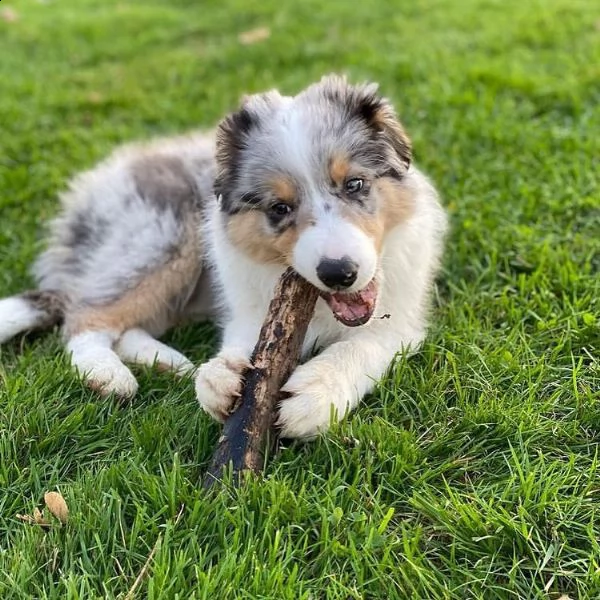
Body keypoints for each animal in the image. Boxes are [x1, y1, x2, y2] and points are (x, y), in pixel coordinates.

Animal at [0, 77, 446, 438]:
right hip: (164, 243)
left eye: (355, 184)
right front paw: (219, 375)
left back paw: (169, 362)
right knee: (86, 317)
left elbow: (360, 345)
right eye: (279, 208)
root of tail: (88, 194)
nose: (338, 273)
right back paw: (110, 375)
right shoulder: (250, 311)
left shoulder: (400, 321)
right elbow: (242, 345)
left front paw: (316, 394)